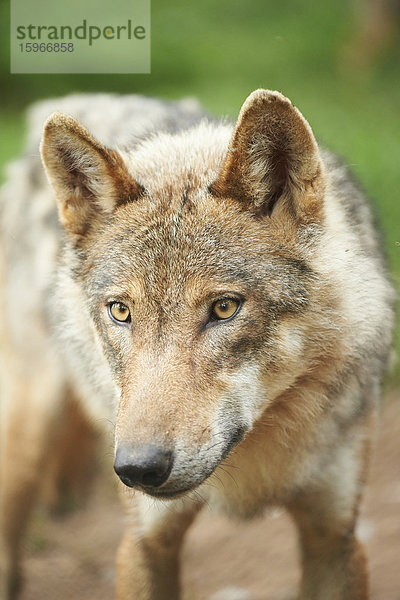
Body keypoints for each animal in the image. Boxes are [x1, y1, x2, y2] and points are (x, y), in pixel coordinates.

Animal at [0, 86, 394, 596]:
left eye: (224, 308)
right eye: (121, 311)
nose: (137, 469)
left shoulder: (334, 537)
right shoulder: (147, 541)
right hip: (27, 432)